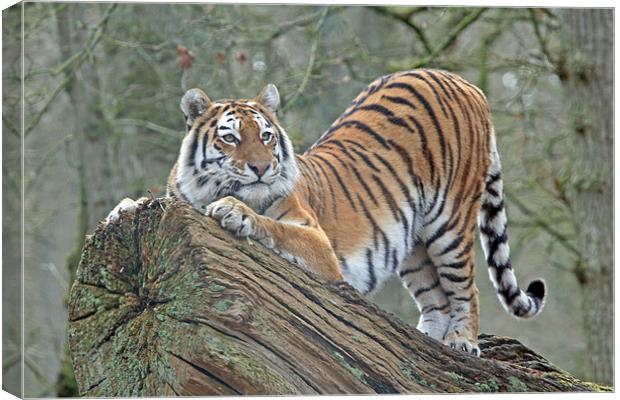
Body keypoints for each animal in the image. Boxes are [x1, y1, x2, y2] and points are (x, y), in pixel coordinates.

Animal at [108, 69, 548, 356]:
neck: (210, 189)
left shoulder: (318, 242)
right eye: (230, 138)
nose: (262, 168)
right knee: (435, 298)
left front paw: (236, 213)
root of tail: (466, 83)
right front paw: (122, 208)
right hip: (413, 243)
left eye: (266, 136)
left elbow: (276, 228)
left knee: (466, 289)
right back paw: (423, 341)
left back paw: (462, 342)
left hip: (450, 223)